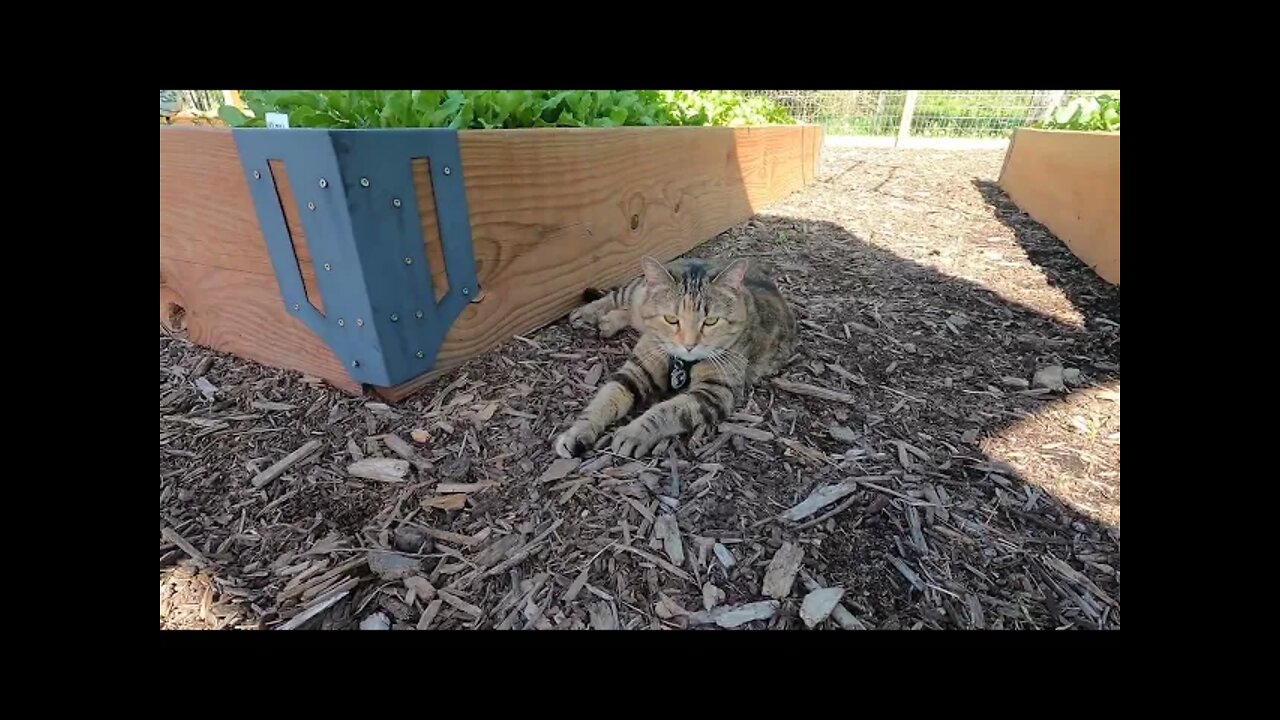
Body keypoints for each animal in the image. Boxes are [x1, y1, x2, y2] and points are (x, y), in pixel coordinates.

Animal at [555, 254, 793, 456]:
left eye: (711, 321)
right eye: (671, 319)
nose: (689, 345)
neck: (682, 363)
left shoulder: (714, 392)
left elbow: (666, 411)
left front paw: (633, 433)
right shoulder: (636, 370)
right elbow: (604, 399)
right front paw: (577, 431)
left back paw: (608, 322)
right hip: (637, 290)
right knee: (618, 297)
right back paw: (588, 313)